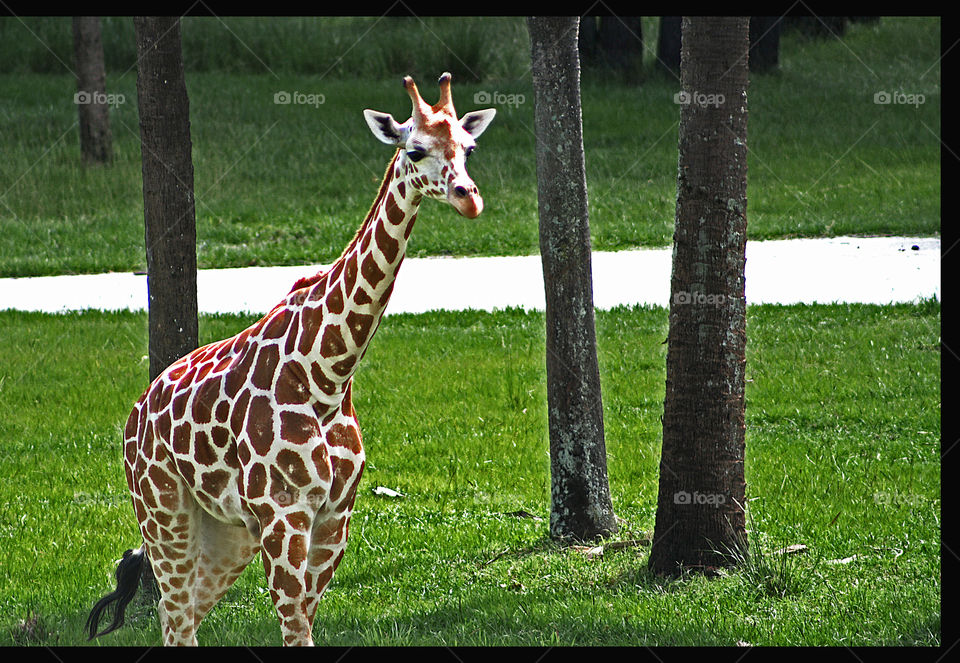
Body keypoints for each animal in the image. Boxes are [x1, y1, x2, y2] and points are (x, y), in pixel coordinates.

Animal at [84, 74, 496, 648]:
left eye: (469, 146)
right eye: (415, 148)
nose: (468, 198)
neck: (328, 371)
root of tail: (135, 414)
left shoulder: (333, 518)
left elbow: (306, 620)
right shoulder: (284, 514)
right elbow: (294, 625)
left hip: (226, 532)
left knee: (179, 616)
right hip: (164, 511)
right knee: (175, 617)